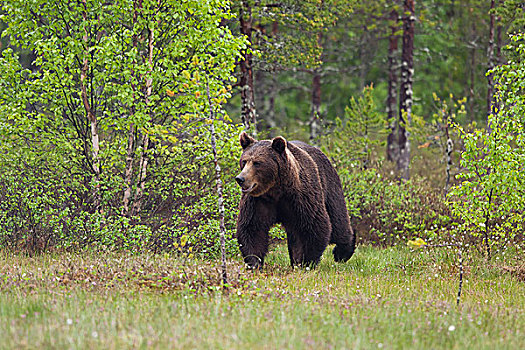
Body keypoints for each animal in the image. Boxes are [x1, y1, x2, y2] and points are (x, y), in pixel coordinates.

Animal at [234, 131, 354, 268]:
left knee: (338, 222)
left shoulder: (301, 197)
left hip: (329, 186)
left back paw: (342, 253)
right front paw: (254, 263)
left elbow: (315, 226)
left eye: (257, 163)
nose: (240, 178)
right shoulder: (258, 201)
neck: (275, 190)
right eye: (244, 161)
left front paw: (308, 262)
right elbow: (252, 229)